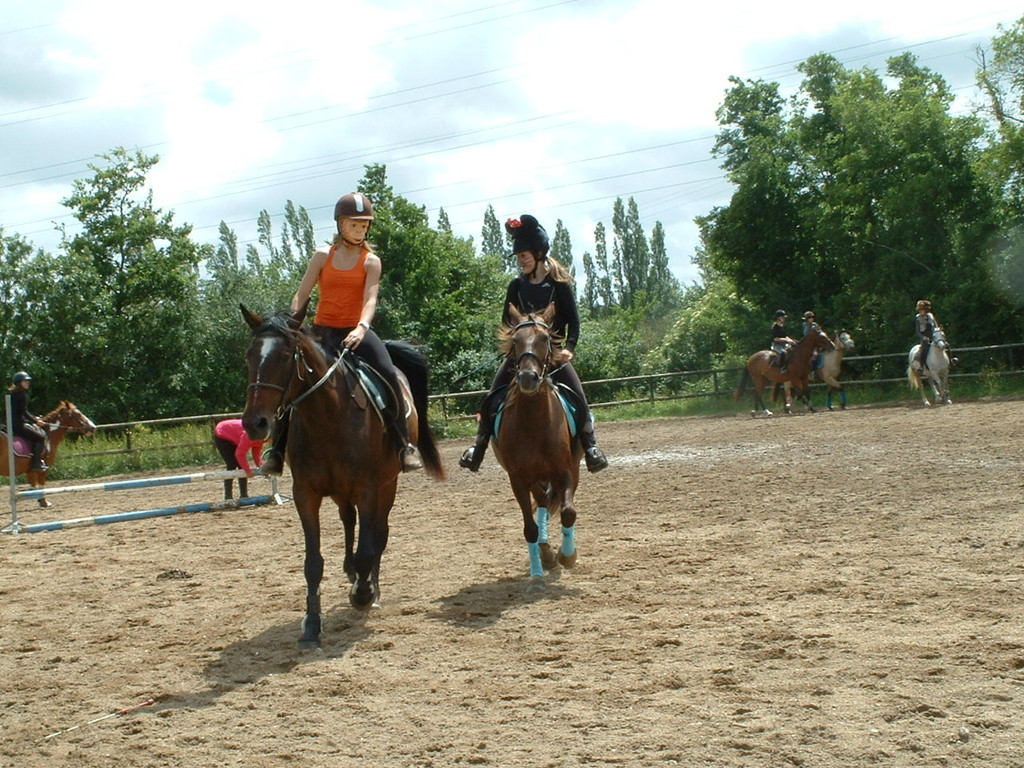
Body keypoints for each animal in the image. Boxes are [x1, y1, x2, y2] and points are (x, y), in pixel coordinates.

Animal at [243, 307, 448, 651]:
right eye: (249, 356)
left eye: (285, 356)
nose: (254, 423)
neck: (327, 415)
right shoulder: (305, 493)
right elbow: (313, 563)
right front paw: (312, 625)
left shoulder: (368, 488)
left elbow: (369, 547)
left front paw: (364, 594)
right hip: (341, 492)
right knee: (349, 521)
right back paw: (351, 573)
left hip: (386, 485)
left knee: (379, 533)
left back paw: (370, 589)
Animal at [493, 303, 585, 593]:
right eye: (515, 341)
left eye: (545, 339)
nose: (527, 378)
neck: (534, 423)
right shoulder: (518, 479)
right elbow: (529, 528)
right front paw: (536, 576)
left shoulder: (565, 471)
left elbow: (568, 511)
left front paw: (568, 555)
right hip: (535, 478)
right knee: (543, 503)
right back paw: (544, 553)